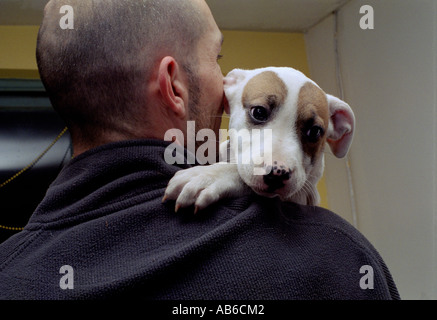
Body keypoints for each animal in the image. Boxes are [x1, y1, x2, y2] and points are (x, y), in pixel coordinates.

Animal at [164, 67, 354, 212]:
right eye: (259, 112)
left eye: (314, 131)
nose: (277, 173)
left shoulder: (301, 194)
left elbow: (239, 171)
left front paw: (208, 176)